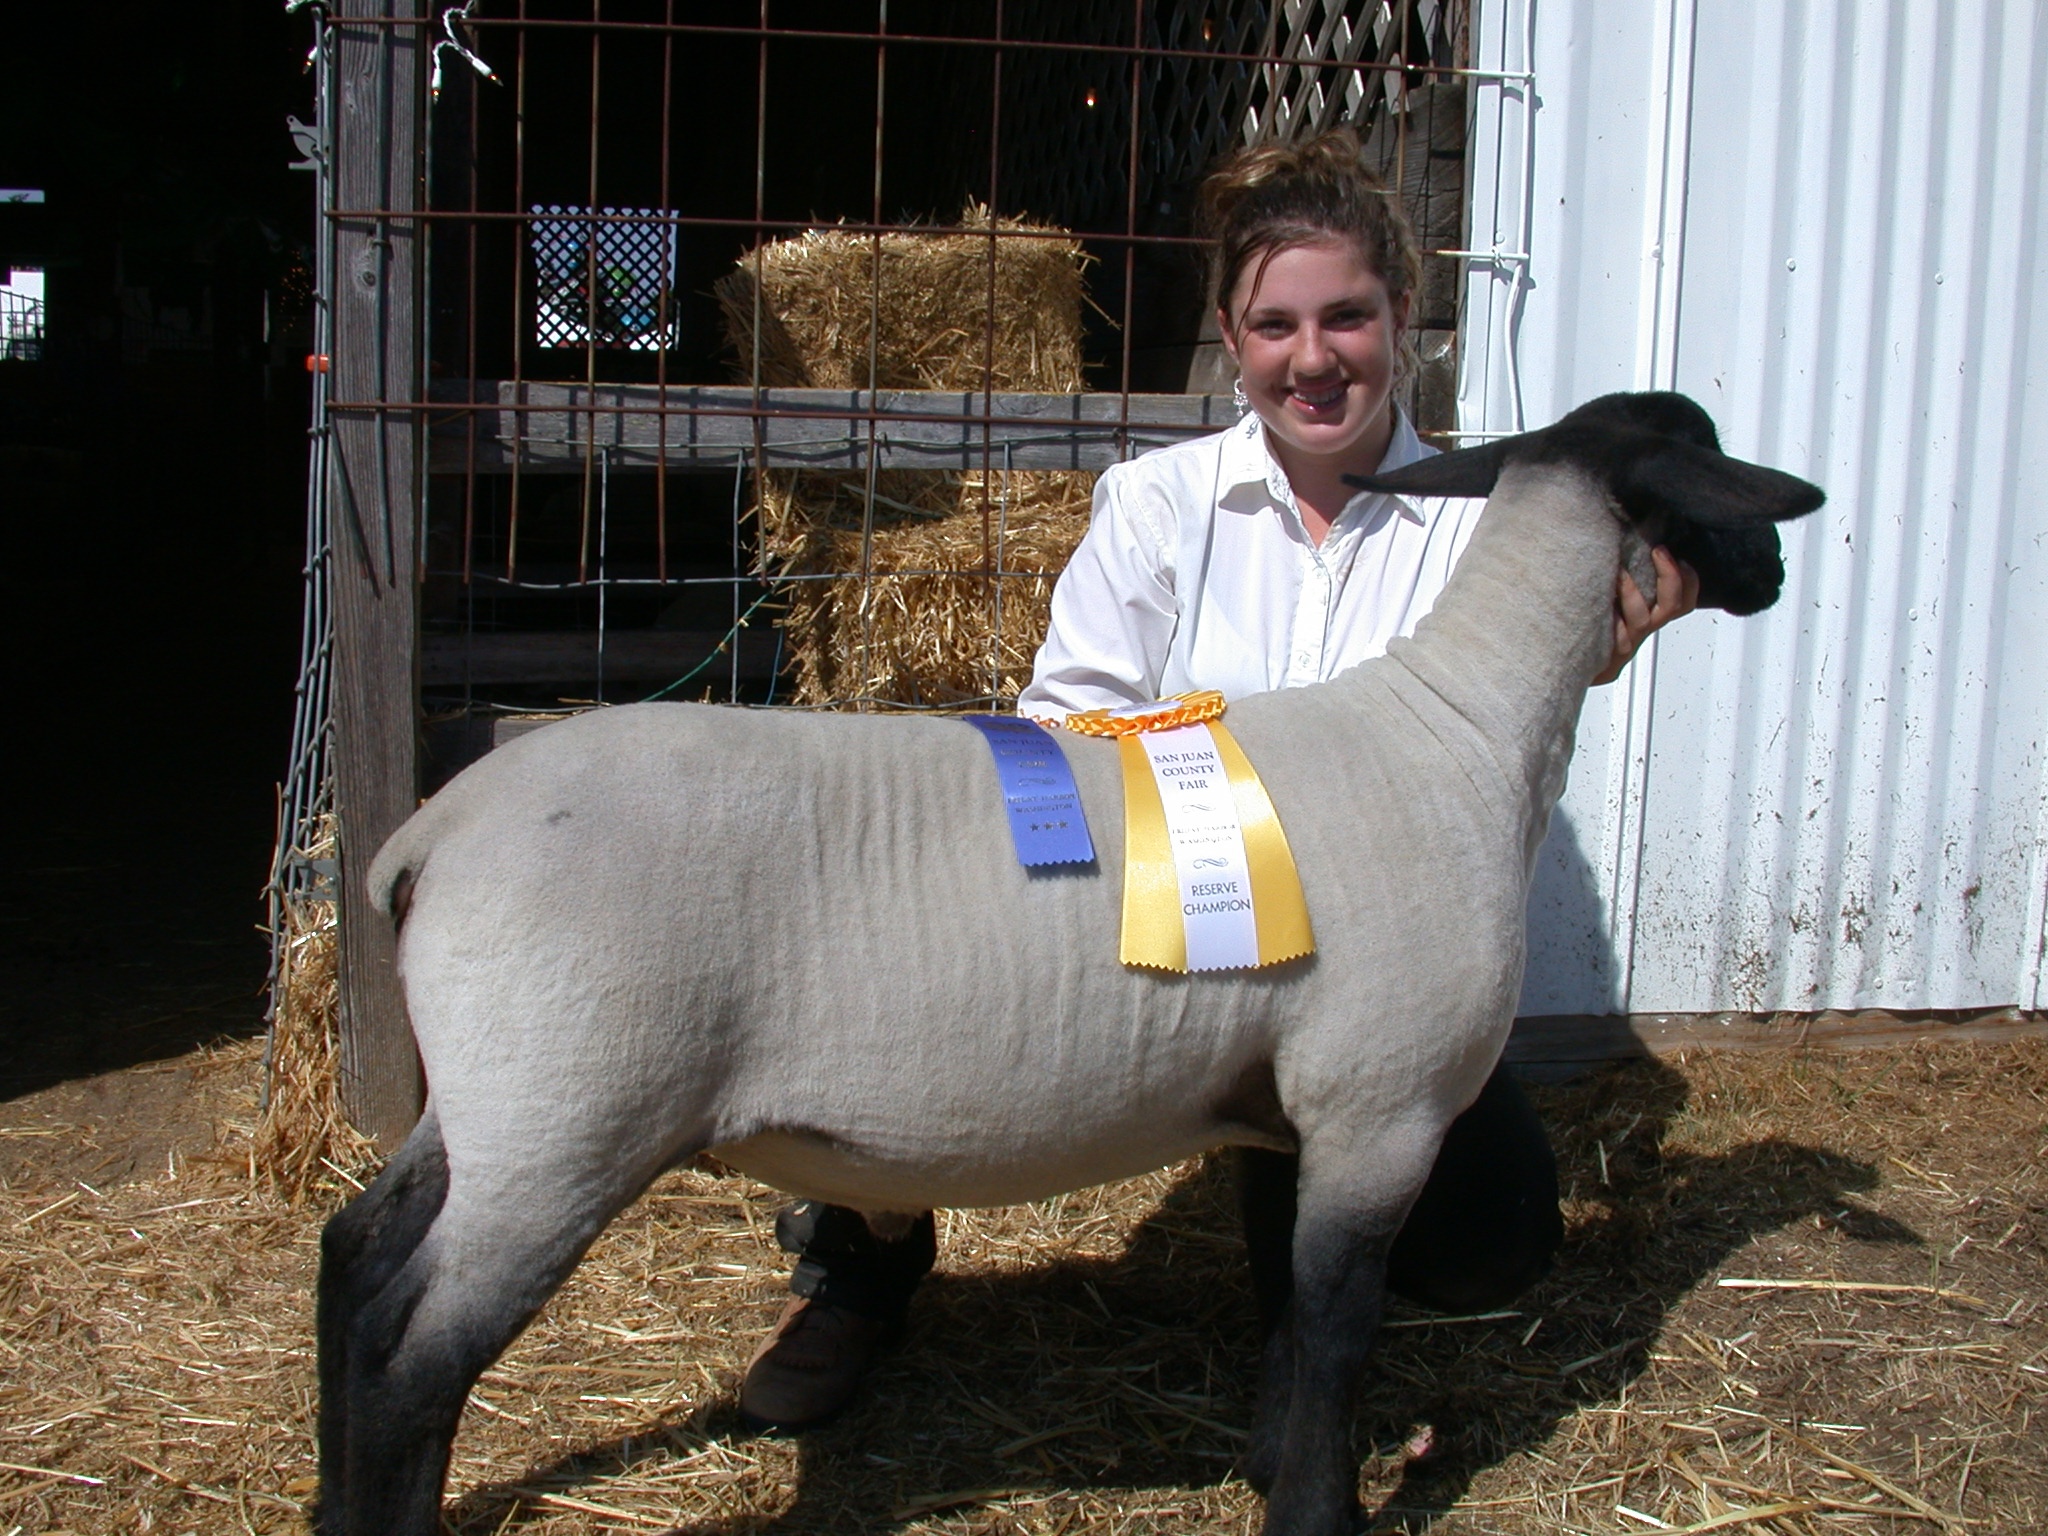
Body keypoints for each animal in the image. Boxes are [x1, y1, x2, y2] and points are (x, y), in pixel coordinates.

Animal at [316, 391, 1824, 1536]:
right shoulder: (1380, 1108)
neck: (1463, 729)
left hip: (498, 1098)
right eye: (1713, 469)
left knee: (353, 1258)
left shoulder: (1294, 1111)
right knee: (411, 1353)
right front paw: (1318, 1513)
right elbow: (1340, 1330)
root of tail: (431, 836)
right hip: (570, 1113)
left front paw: (1272, 1467)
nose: (1780, 572)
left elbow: (1289, 1315)